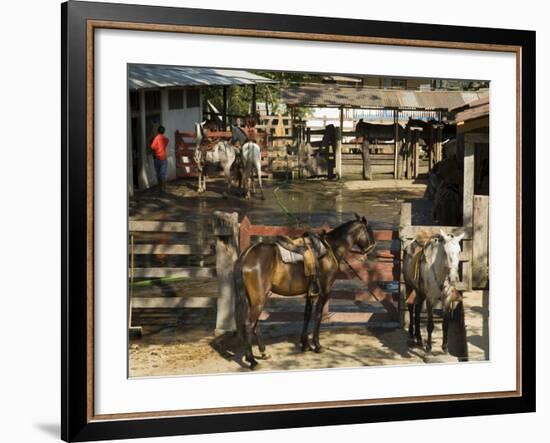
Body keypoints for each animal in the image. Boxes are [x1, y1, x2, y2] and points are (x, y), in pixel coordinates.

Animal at [233, 215, 380, 372]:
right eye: (370, 231)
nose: (373, 252)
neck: (330, 248)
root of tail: (246, 255)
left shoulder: (310, 293)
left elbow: (307, 315)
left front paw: (305, 344)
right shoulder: (324, 291)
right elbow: (318, 316)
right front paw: (317, 345)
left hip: (255, 299)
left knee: (255, 324)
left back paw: (263, 352)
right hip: (259, 299)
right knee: (249, 324)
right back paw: (252, 360)